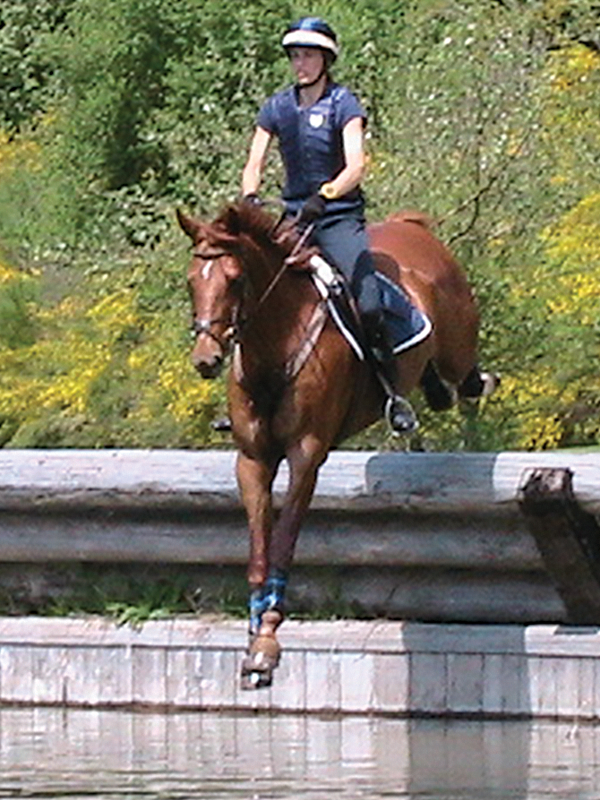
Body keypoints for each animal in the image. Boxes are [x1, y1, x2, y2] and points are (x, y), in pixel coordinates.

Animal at [178, 201, 496, 689]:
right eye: (192, 280)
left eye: (234, 279)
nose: (206, 359)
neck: (274, 346)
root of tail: (412, 226)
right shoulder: (252, 460)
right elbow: (258, 550)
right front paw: (253, 639)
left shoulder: (306, 454)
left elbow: (284, 541)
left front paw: (267, 641)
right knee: (440, 388)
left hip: (457, 349)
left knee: (469, 383)